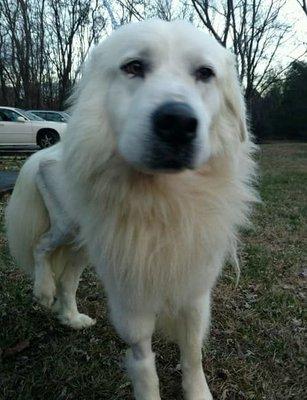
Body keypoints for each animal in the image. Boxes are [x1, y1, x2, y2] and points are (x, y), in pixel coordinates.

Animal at [6, 20, 258, 400]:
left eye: (205, 73)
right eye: (134, 67)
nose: (177, 123)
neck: (163, 201)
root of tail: (45, 153)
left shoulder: (194, 285)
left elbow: (192, 352)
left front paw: (197, 390)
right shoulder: (130, 295)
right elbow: (143, 363)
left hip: (86, 242)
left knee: (69, 277)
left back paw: (71, 317)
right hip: (67, 227)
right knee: (42, 248)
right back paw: (43, 290)